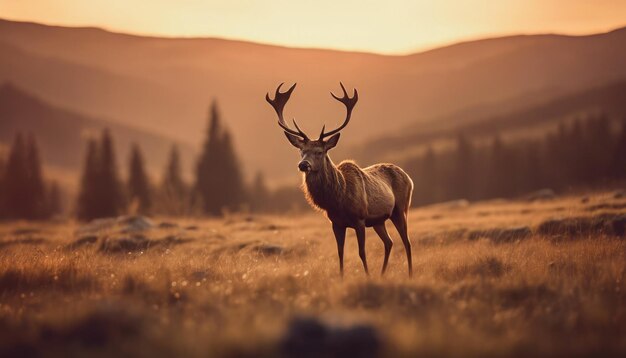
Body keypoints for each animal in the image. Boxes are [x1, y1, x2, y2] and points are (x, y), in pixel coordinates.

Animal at [264, 82, 414, 276]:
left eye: (319, 152)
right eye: (301, 151)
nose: (303, 165)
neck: (338, 200)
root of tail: (409, 177)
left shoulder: (359, 219)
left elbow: (361, 252)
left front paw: (367, 276)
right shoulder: (336, 223)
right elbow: (340, 254)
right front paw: (342, 277)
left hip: (401, 209)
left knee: (407, 242)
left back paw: (410, 274)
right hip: (379, 220)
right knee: (389, 242)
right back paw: (382, 274)